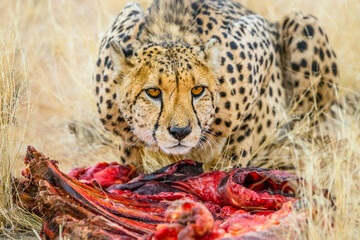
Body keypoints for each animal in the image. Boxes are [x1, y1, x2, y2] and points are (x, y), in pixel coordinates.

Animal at [94, 0, 338, 169]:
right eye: (153, 92)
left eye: (197, 90)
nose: (180, 132)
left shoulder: (260, 40)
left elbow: (238, 146)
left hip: (303, 24)